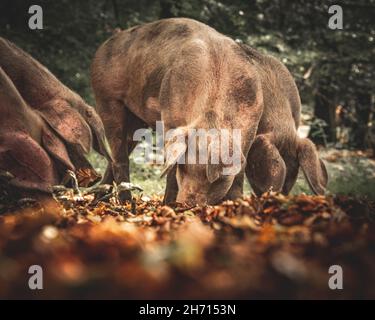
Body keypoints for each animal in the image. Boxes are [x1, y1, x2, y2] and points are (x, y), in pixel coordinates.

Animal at [92, 18, 264, 205]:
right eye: (184, 166)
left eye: (215, 179)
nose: (185, 204)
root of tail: (103, 47)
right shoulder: (170, 116)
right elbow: (171, 169)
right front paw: (168, 205)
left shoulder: (251, 126)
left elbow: (238, 176)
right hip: (106, 99)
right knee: (119, 157)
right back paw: (126, 203)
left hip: (136, 119)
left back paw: (98, 201)